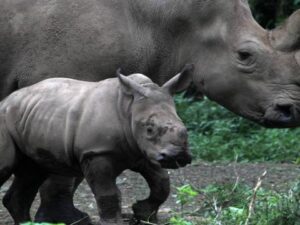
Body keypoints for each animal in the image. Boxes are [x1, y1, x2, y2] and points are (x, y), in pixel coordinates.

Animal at [0, 66, 192, 224]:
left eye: (184, 128)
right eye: (150, 129)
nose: (178, 156)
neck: (129, 107)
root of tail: (5, 101)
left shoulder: (143, 151)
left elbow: (162, 182)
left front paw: (142, 213)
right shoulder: (96, 153)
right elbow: (108, 193)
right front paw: (113, 223)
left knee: (32, 171)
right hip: (4, 119)